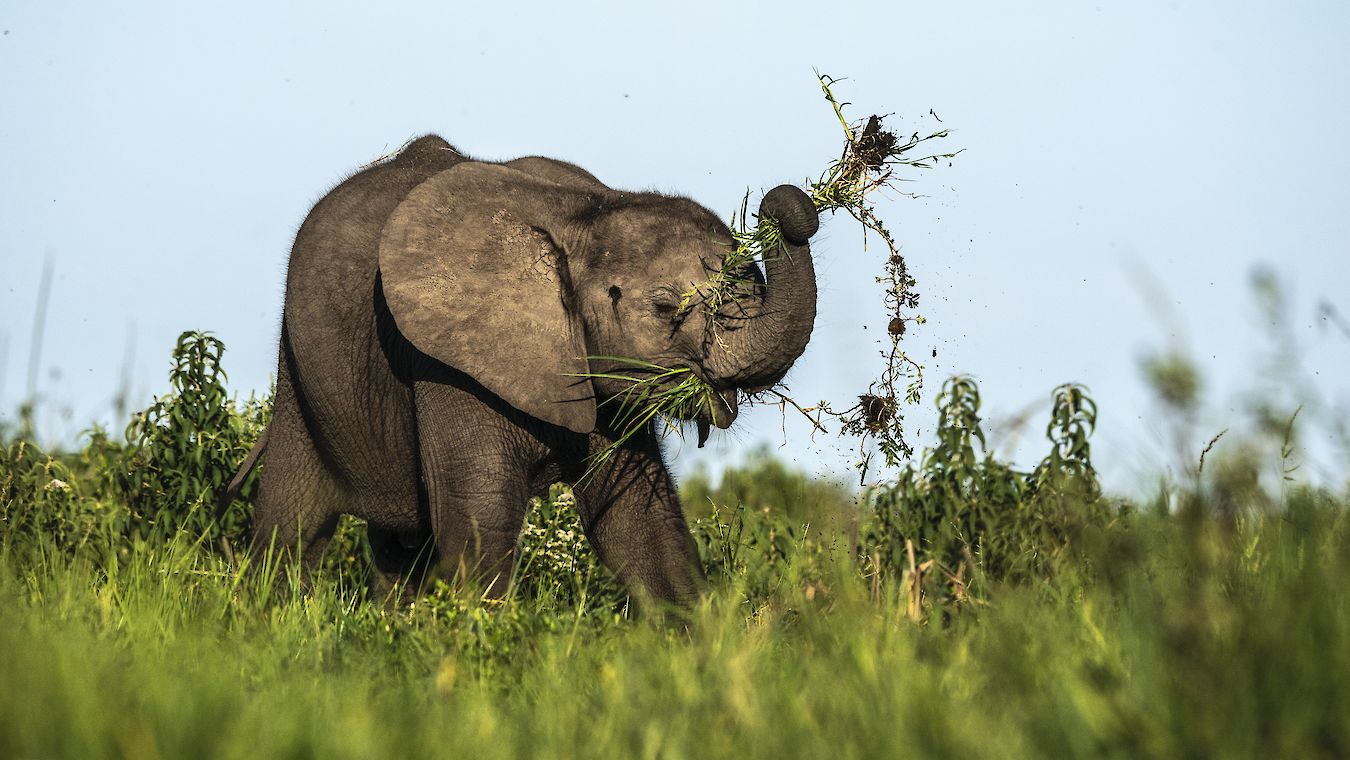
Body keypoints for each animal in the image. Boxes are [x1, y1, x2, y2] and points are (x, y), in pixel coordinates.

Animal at [229, 132, 820, 607]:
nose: (784, 206)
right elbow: (481, 524)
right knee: (290, 524)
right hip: (300, 370)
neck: (585, 216)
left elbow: (638, 524)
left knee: (398, 548)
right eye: (664, 306)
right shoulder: (447, 357)